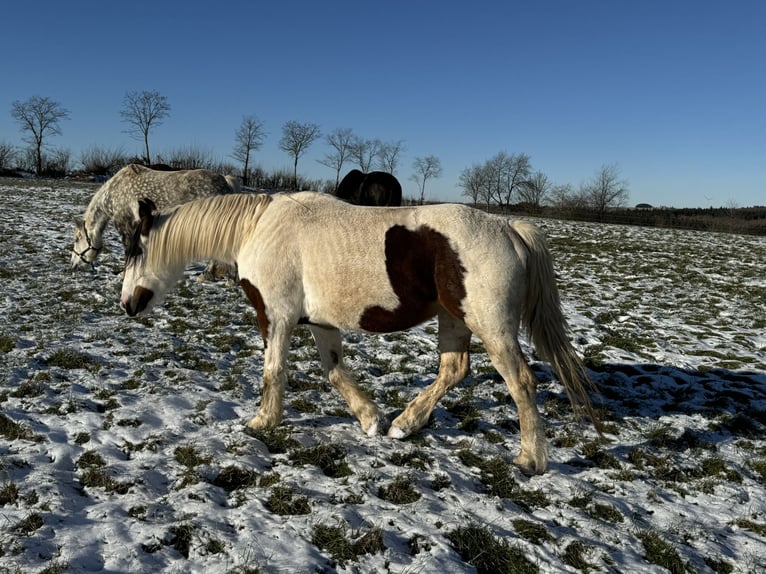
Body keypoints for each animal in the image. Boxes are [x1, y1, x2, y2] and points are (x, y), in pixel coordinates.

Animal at [120, 191, 604, 474]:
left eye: (135, 249)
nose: (126, 304)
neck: (260, 228)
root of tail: (509, 228)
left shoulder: (275, 317)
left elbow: (274, 371)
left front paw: (262, 422)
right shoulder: (319, 323)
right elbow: (334, 371)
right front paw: (371, 419)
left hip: (492, 327)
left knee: (521, 382)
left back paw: (531, 459)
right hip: (454, 320)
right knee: (453, 370)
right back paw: (405, 425)